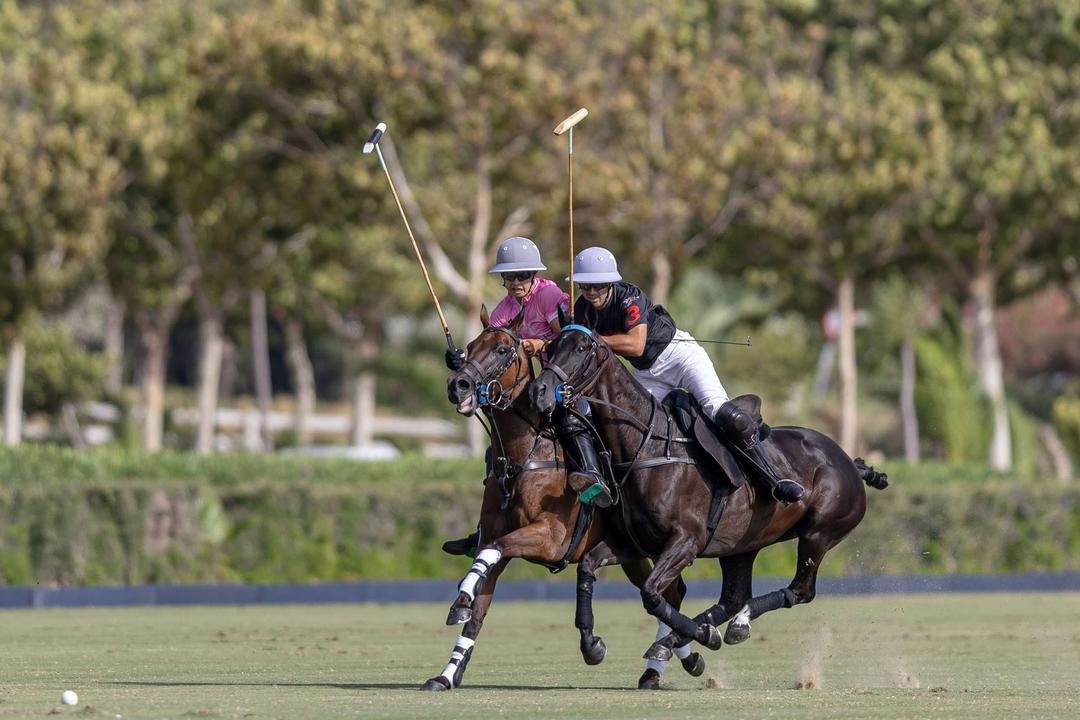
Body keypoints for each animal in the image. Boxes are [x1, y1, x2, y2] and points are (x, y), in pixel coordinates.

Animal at [425, 310, 704, 690]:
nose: (459, 385)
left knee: (670, 592)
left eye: (501, 349)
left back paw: (673, 659)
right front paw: (447, 671)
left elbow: (492, 551)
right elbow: (478, 607)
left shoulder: (549, 537)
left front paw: (460, 602)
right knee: (668, 591)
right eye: (468, 347)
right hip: (632, 553)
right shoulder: (496, 538)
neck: (525, 458)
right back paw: (680, 658)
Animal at [527, 325, 889, 664]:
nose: (538, 391)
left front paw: (701, 635)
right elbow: (588, 567)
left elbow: (651, 594)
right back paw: (697, 633)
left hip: (819, 533)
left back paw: (732, 624)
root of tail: (848, 461)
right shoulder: (633, 542)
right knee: (734, 597)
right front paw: (592, 645)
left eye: (582, 348)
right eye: (550, 347)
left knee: (800, 591)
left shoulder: (687, 541)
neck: (647, 448)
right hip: (740, 546)